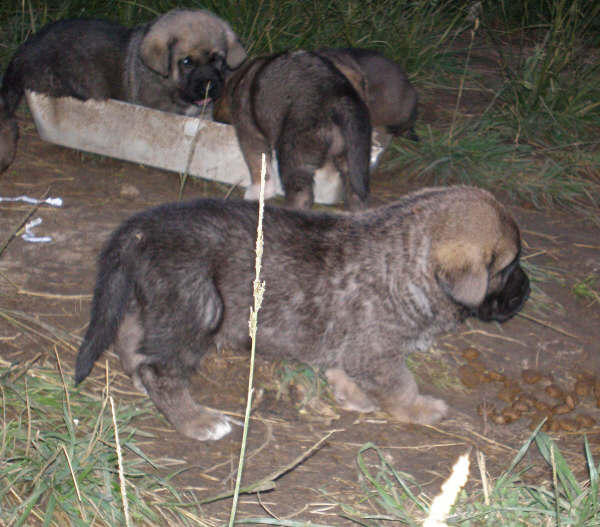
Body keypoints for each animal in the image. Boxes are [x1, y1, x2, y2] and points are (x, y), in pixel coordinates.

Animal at [75, 186, 528, 442]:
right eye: (506, 268)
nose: (526, 293)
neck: (409, 263)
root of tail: (140, 229)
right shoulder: (378, 352)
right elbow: (401, 385)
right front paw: (419, 410)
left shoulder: (351, 342)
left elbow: (339, 363)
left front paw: (349, 393)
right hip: (197, 305)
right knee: (161, 369)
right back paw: (195, 421)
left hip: (157, 299)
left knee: (130, 333)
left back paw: (137, 372)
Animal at [211, 50, 370, 210]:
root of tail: (337, 99)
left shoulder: (250, 131)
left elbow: (257, 163)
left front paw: (257, 192)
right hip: (351, 153)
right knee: (352, 184)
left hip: (294, 151)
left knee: (301, 192)